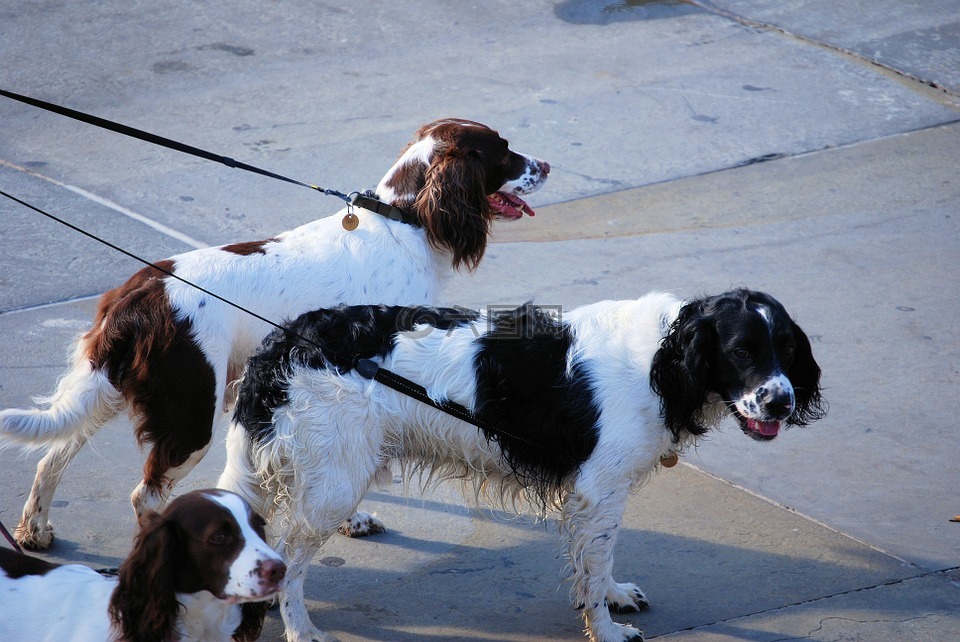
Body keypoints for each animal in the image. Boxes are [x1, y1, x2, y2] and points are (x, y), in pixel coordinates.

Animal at [0, 117, 548, 548]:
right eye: (503, 150)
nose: (546, 165)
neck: (404, 222)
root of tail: (138, 299)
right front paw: (352, 517)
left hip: (114, 388)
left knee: (53, 456)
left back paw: (34, 531)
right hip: (190, 413)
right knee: (145, 494)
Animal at [219, 290, 824, 640]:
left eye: (789, 349)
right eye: (742, 351)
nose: (781, 402)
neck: (661, 358)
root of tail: (280, 348)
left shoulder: (594, 494)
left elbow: (593, 563)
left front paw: (612, 596)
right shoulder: (601, 488)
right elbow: (597, 561)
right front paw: (607, 629)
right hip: (334, 484)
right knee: (290, 565)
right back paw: (302, 630)